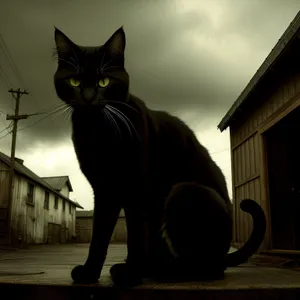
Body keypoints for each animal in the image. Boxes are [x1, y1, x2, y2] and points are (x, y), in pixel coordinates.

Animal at [53, 26, 264, 286]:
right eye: (74, 81)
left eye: (104, 81)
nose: (89, 97)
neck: (97, 130)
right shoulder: (104, 189)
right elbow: (99, 237)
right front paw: (90, 274)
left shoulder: (135, 187)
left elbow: (135, 235)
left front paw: (131, 275)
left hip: (185, 191)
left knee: (208, 268)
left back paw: (160, 272)